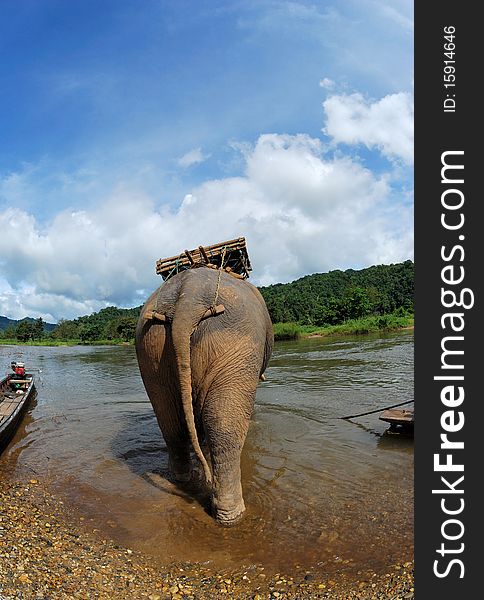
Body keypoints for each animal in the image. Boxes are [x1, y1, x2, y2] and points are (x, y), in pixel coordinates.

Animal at [134, 268, 274, 524]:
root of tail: (187, 297)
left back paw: (182, 480)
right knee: (224, 425)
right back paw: (231, 516)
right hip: (237, 342)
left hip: (150, 347)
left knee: (169, 420)